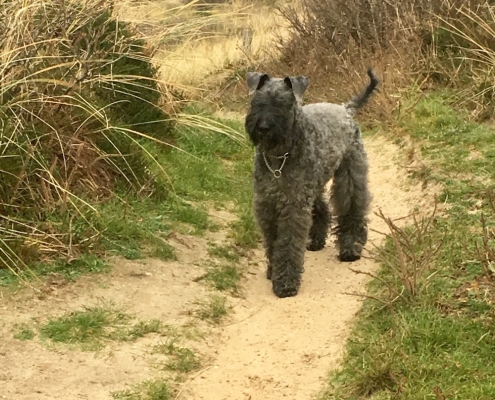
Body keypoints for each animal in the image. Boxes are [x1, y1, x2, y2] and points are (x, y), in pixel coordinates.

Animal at [245, 68, 380, 296]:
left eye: (283, 103)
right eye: (257, 101)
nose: (263, 127)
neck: (279, 156)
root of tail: (346, 109)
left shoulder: (293, 204)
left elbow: (288, 242)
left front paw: (285, 282)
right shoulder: (267, 202)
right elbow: (272, 240)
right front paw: (272, 270)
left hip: (349, 176)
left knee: (353, 209)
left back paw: (350, 247)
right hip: (313, 185)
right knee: (322, 208)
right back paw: (316, 240)